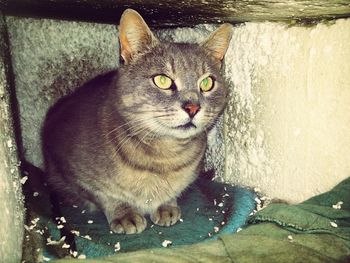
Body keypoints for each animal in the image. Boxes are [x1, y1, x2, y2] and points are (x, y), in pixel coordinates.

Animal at [41, 8, 232, 235]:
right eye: (162, 80)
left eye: (207, 83)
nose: (193, 107)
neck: (164, 158)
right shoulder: (79, 177)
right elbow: (107, 196)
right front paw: (124, 214)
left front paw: (167, 205)